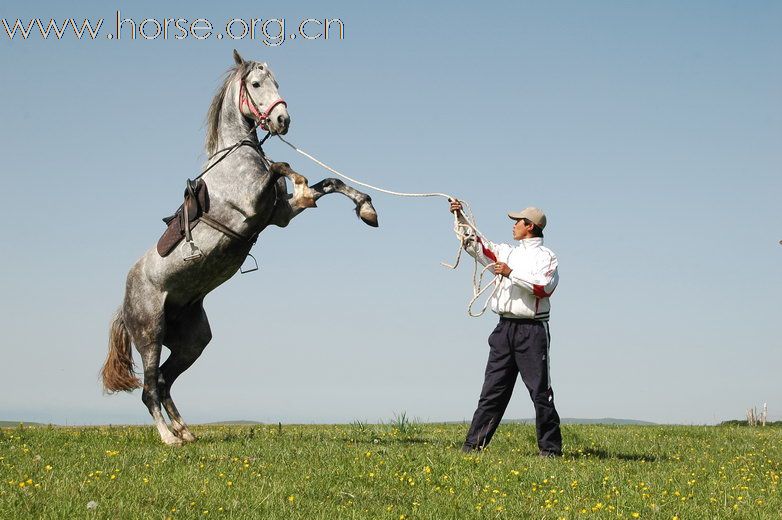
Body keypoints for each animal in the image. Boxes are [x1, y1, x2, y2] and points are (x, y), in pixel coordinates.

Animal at [101, 50, 380, 444]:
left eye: (277, 82)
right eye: (257, 84)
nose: (283, 120)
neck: (237, 154)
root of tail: (124, 304)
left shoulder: (280, 215)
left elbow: (331, 182)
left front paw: (367, 209)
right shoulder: (253, 203)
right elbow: (284, 166)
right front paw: (302, 182)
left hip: (192, 341)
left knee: (165, 380)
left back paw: (185, 432)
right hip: (150, 334)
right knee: (149, 388)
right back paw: (169, 438)